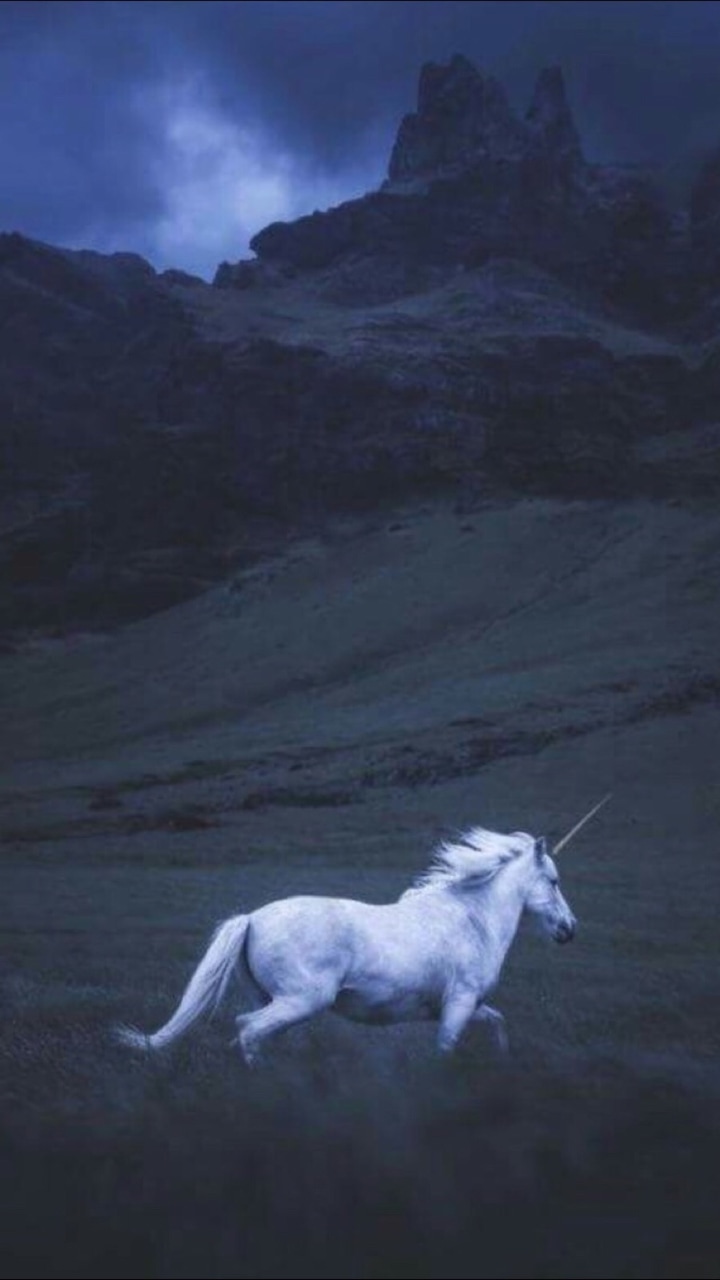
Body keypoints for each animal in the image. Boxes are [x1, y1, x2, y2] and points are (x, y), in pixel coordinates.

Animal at [117, 799, 608, 1064]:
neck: (472, 919)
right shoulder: (459, 1003)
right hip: (302, 1000)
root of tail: (252, 918)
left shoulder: (464, 1006)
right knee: (249, 1030)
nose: (570, 929)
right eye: (554, 881)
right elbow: (446, 1050)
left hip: (274, 999)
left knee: (250, 1034)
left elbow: (499, 1024)